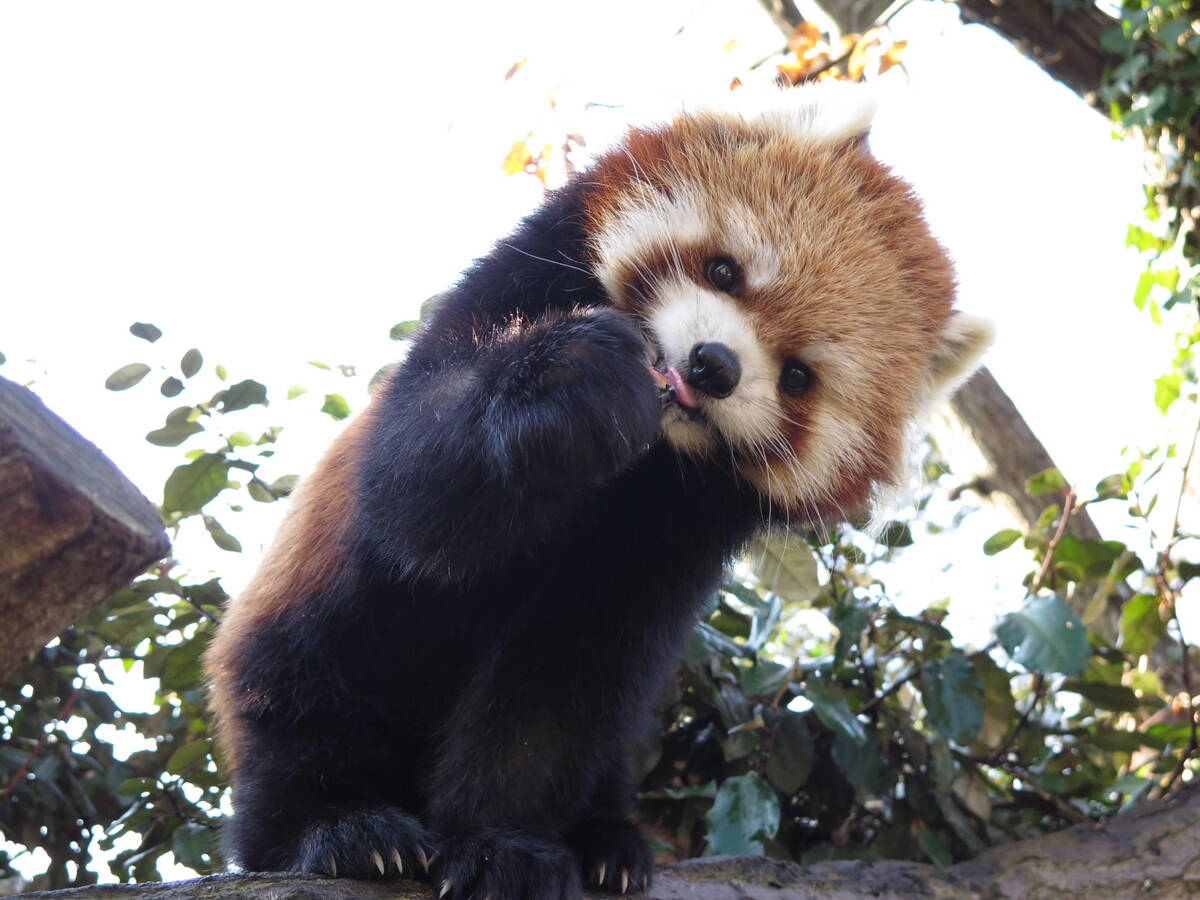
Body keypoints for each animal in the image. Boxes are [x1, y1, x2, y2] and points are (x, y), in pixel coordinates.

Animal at [206, 84, 993, 900]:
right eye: (725, 271)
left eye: (799, 376)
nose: (712, 366)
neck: (640, 463)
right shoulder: (501, 302)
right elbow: (414, 497)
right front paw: (575, 383)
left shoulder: (663, 540)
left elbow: (559, 688)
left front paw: (502, 841)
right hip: (309, 626)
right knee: (306, 698)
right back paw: (338, 829)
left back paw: (607, 838)